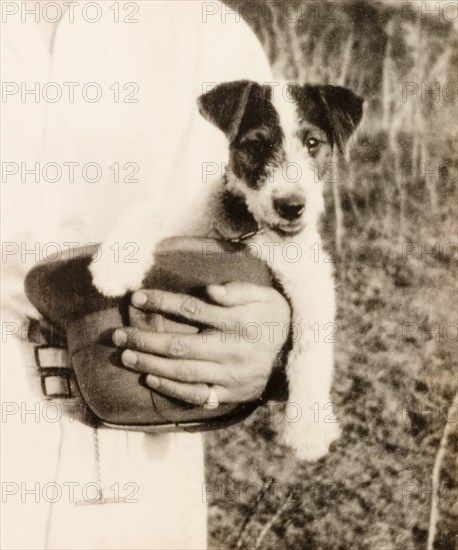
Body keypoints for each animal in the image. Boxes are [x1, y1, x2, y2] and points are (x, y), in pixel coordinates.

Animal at [89, 81, 364, 462]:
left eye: (313, 143)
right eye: (256, 145)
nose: (291, 206)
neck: (249, 227)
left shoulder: (310, 280)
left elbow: (310, 350)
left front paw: (308, 430)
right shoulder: (186, 226)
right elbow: (150, 211)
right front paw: (115, 267)